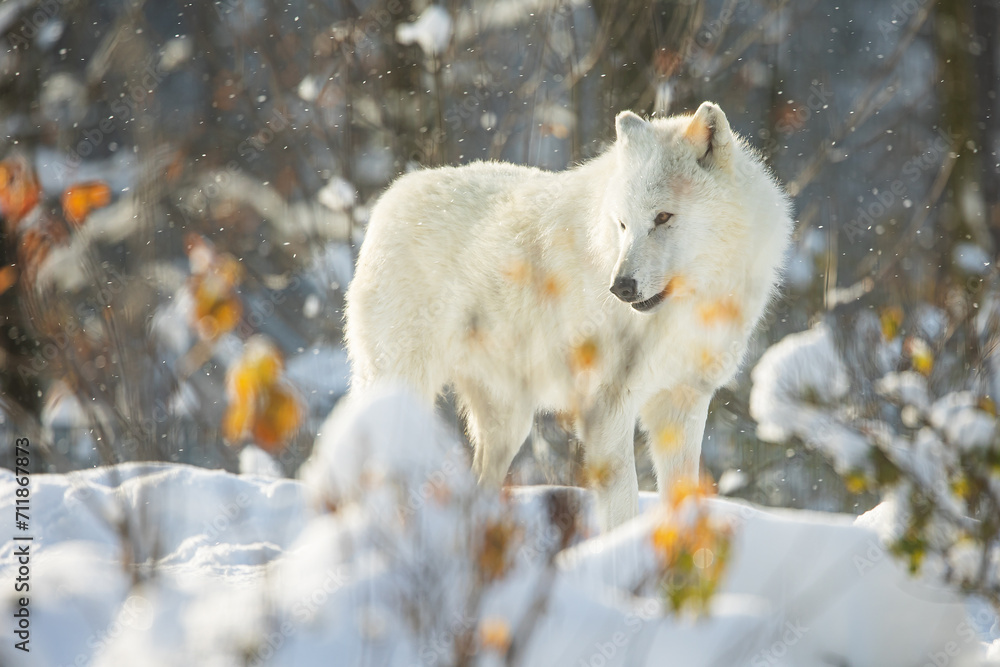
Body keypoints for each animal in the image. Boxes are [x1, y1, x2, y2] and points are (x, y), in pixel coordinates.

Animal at [345, 102, 793, 530]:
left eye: (663, 217)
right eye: (623, 224)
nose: (620, 287)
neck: (685, 311)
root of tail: (393, 194)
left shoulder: (683, 403)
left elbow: (682, 498)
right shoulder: (606, 409)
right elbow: (622, 509)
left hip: (508, 424)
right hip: (404, 392)